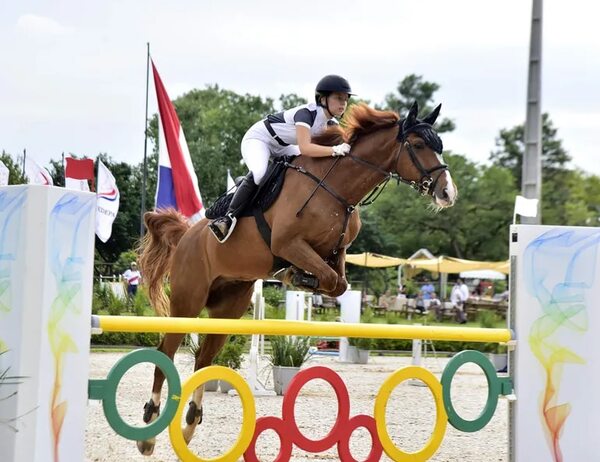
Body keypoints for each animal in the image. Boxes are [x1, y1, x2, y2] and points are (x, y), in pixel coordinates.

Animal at [135, 102, 454, 454]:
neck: (338, 189)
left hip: (227, 307)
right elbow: (327, 278)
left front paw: (299, 276)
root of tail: (186, 235)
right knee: (166, 351)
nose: (448, 193)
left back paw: (190, 423)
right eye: (420, 145)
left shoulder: (337, 252)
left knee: (204, 358)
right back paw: (149, 429)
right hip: (188, 302)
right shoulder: (288, 244)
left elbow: (338, 283)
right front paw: (297, 275)